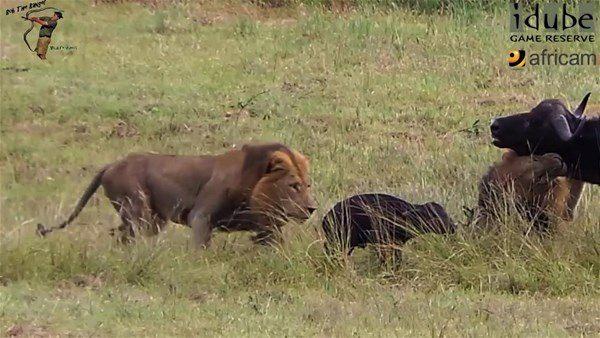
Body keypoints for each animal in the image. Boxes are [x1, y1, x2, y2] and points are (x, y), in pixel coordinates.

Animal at [36, 143, 318, 248]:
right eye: (293, 185)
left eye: (307, 185)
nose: (312, 208)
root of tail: (111, 164)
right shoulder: (200, 217)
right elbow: (201, 247)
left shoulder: (267, 227)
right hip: (138, 211)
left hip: (149, 219)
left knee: (118, 234)